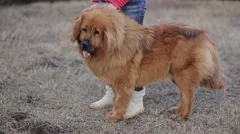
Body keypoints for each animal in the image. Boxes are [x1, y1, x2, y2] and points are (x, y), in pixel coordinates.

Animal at [71, 5, 225, 122]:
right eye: (84, 29)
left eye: (97, 32)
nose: (84, 44)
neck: (114, 46)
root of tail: (203, 34)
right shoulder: (116, 82)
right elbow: (116, 99)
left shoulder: (123, 83)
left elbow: (120, 102)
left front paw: (116, 116)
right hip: (176, 75)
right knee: (184, 95)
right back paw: (178, 110)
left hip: (182, 74)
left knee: (189, 97)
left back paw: (182, 116)